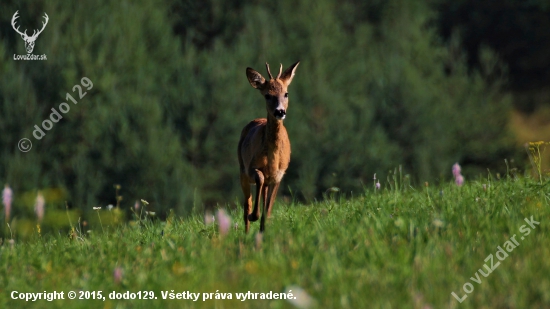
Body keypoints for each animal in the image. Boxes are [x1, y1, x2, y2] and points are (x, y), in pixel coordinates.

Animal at [239, 61, 302, 232]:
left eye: (286, 94)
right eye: (267, 95)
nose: (280, 111)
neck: (272, 159)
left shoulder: (279, 175)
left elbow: (267, 211)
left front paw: (263, 230)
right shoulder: (252, 167)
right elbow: (259, 179)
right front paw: (253, 216)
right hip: (242, 169)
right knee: (247, 204)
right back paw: (246, 230)